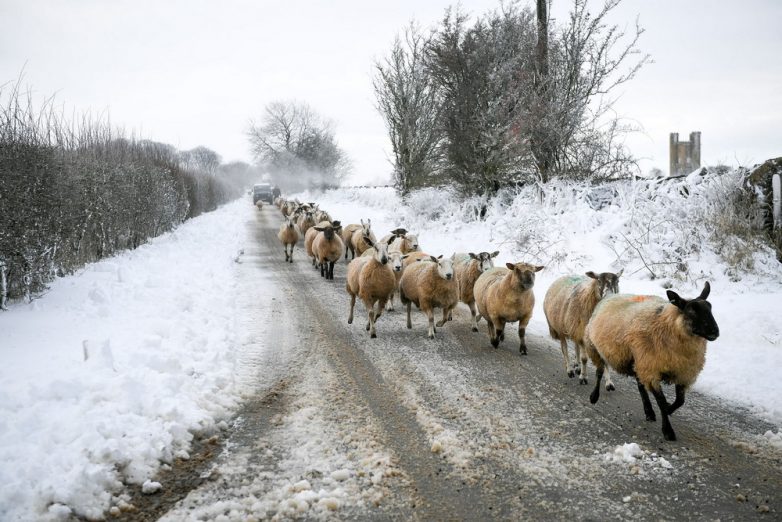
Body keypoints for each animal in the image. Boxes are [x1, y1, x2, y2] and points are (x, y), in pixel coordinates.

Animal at [588, 280, 724, 438]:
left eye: (710, 308)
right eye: (692, 311)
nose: (715, 331)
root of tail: (610, 296)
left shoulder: (682, 373)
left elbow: (680, 401)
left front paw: (669, 410)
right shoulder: (652, 370)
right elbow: (661, 400)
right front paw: (668, 431)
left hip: (639, 361)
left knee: (640, 386)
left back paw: (649, 412)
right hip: (598, 348)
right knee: (599, 372)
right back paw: (594, 397)